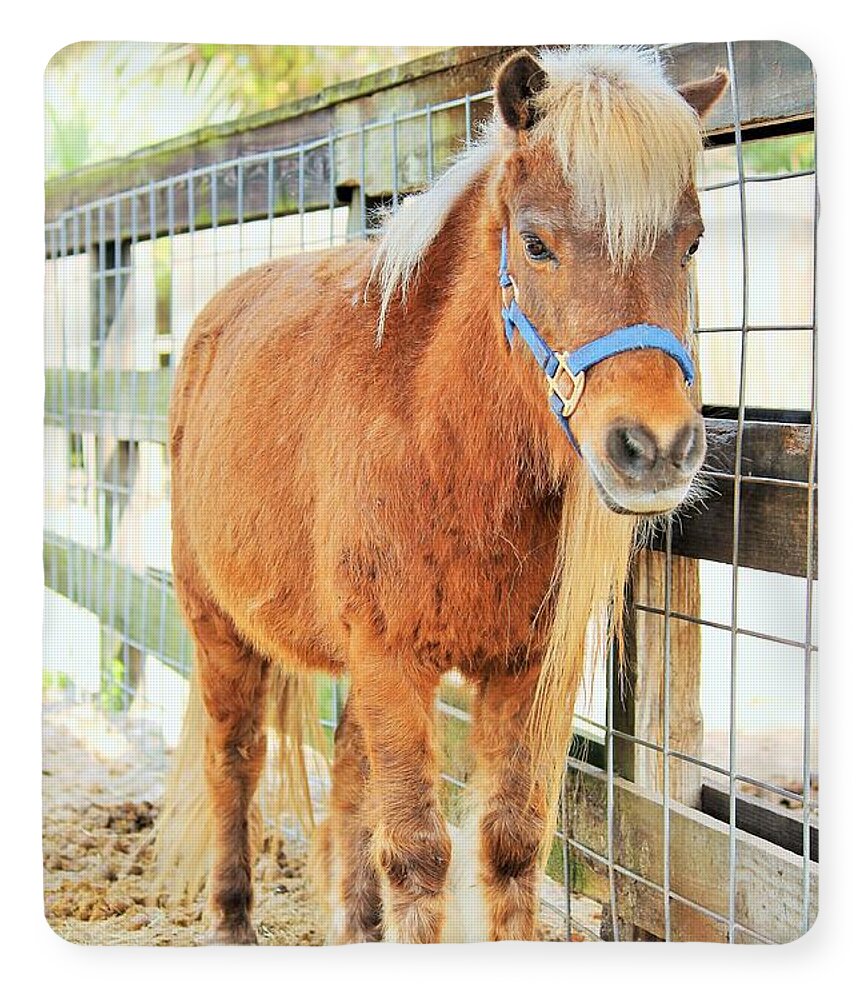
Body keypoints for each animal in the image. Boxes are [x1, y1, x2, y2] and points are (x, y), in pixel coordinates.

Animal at [155, 46, 728, 945]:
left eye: (692, 242)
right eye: (535, 243)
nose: (656, 449)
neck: (444, 446)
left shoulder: (527, 670)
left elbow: (510, 844)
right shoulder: (391, 659)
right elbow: (419, 854)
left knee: (349, 773)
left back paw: (355, 927)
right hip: (219, 627)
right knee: (234, 760)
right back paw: (232, 918)